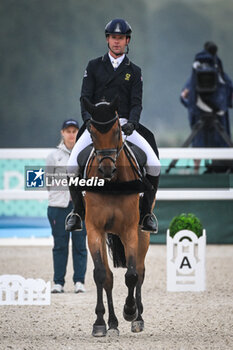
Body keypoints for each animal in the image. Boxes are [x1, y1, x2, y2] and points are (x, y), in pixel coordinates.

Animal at [82, 95, 151, 336]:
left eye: (116, 131)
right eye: (92, 132)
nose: (106, 170)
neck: (113, 184)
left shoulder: (130, 230)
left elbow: (131, 275)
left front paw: (130, 311)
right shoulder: (94, 230)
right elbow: (102, 275)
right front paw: (100, 323)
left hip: (143, 232)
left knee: (140, 271)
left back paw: (138, 318)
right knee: (109, 277)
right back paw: (111, 323)